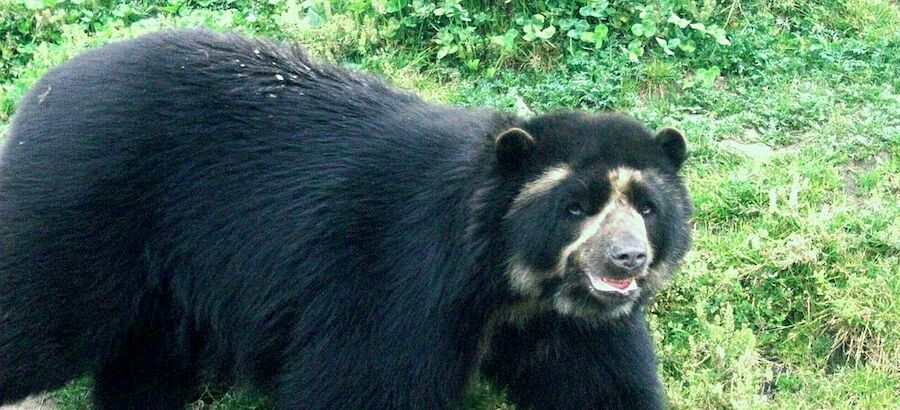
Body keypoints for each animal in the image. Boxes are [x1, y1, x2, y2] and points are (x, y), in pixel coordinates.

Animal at [0, 29, 692, 410]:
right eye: (576, 207)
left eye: (646, 207)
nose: (628, 258)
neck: (509, 282)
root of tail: (44, 87)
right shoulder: (399, 285)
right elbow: (363, 382)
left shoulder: (573, 326)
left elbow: (601, 388)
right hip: (82, 210)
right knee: (37, 315)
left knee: (144, 359)